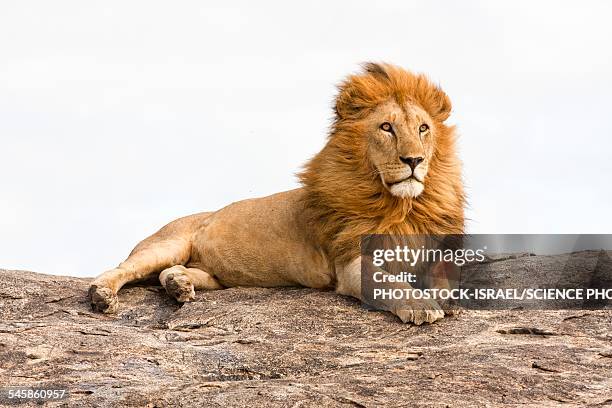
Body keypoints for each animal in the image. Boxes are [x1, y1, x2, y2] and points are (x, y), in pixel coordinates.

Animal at [89, 63, 464, 326]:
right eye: (386, 127)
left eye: (423, 128)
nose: (414, 160)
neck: (402, 205)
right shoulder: (349, 262)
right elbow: (386, 281)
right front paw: (420, 305)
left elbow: (446, 280)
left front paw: (444, 300)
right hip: (166, 243)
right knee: (123, 267)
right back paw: (101, 295)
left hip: (214, 276)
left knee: (173, 272)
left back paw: (178, 285)